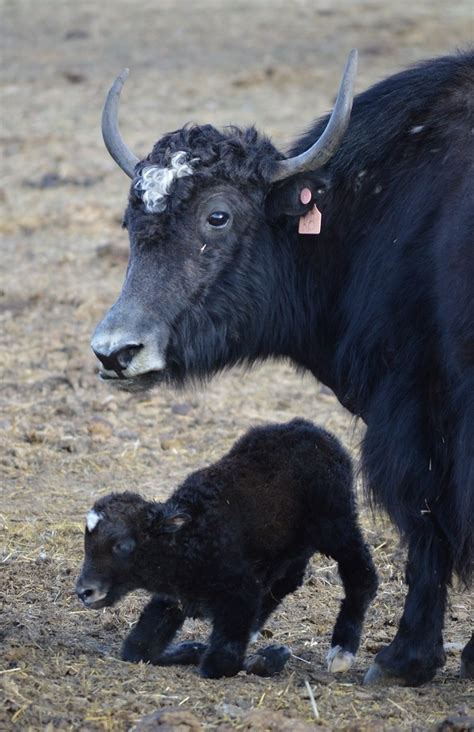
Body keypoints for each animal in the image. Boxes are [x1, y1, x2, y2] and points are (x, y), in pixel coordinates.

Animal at [75, 420, 378, 676]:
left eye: (123, 545)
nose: (83, 591)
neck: (190, 541)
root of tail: (316, 431)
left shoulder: (239, 591)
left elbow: (220, 665)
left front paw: (268, 658)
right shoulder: (174, 598)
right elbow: (137, 649)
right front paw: (193, 648)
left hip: (336, 522)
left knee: (361, 574)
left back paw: (342, 652)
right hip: (292, 543)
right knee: (289, 579)